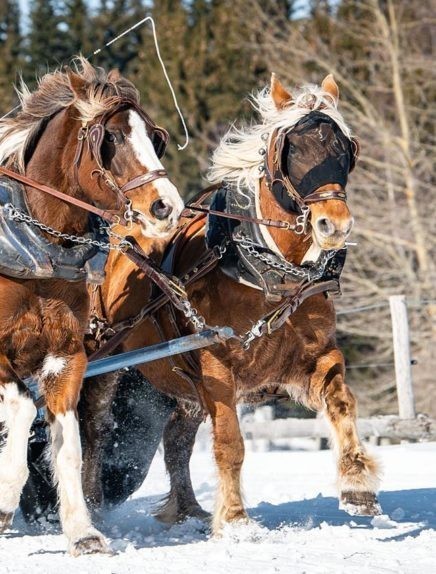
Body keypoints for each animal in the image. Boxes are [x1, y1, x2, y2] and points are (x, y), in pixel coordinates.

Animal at [0, 56, 183, 556]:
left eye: (154, 136)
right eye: (111, 139)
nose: (166, 207)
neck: (36, 247)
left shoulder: (68, 355)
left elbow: (68, 445)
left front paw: (82, 531)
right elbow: (22, 410)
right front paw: (4, 503)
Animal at [82, 74, 382, 532]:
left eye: (345, 150)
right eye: (290, 150)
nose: (334, 225)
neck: (268, 274)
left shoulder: (316, 356)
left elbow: (342, 401)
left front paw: (357, 484)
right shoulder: (215, 368)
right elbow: (229, 442)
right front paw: (237, 520)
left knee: (176, 438)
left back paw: (187, 509)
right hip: (102, 359)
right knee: (93, 429)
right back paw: (91, 504)